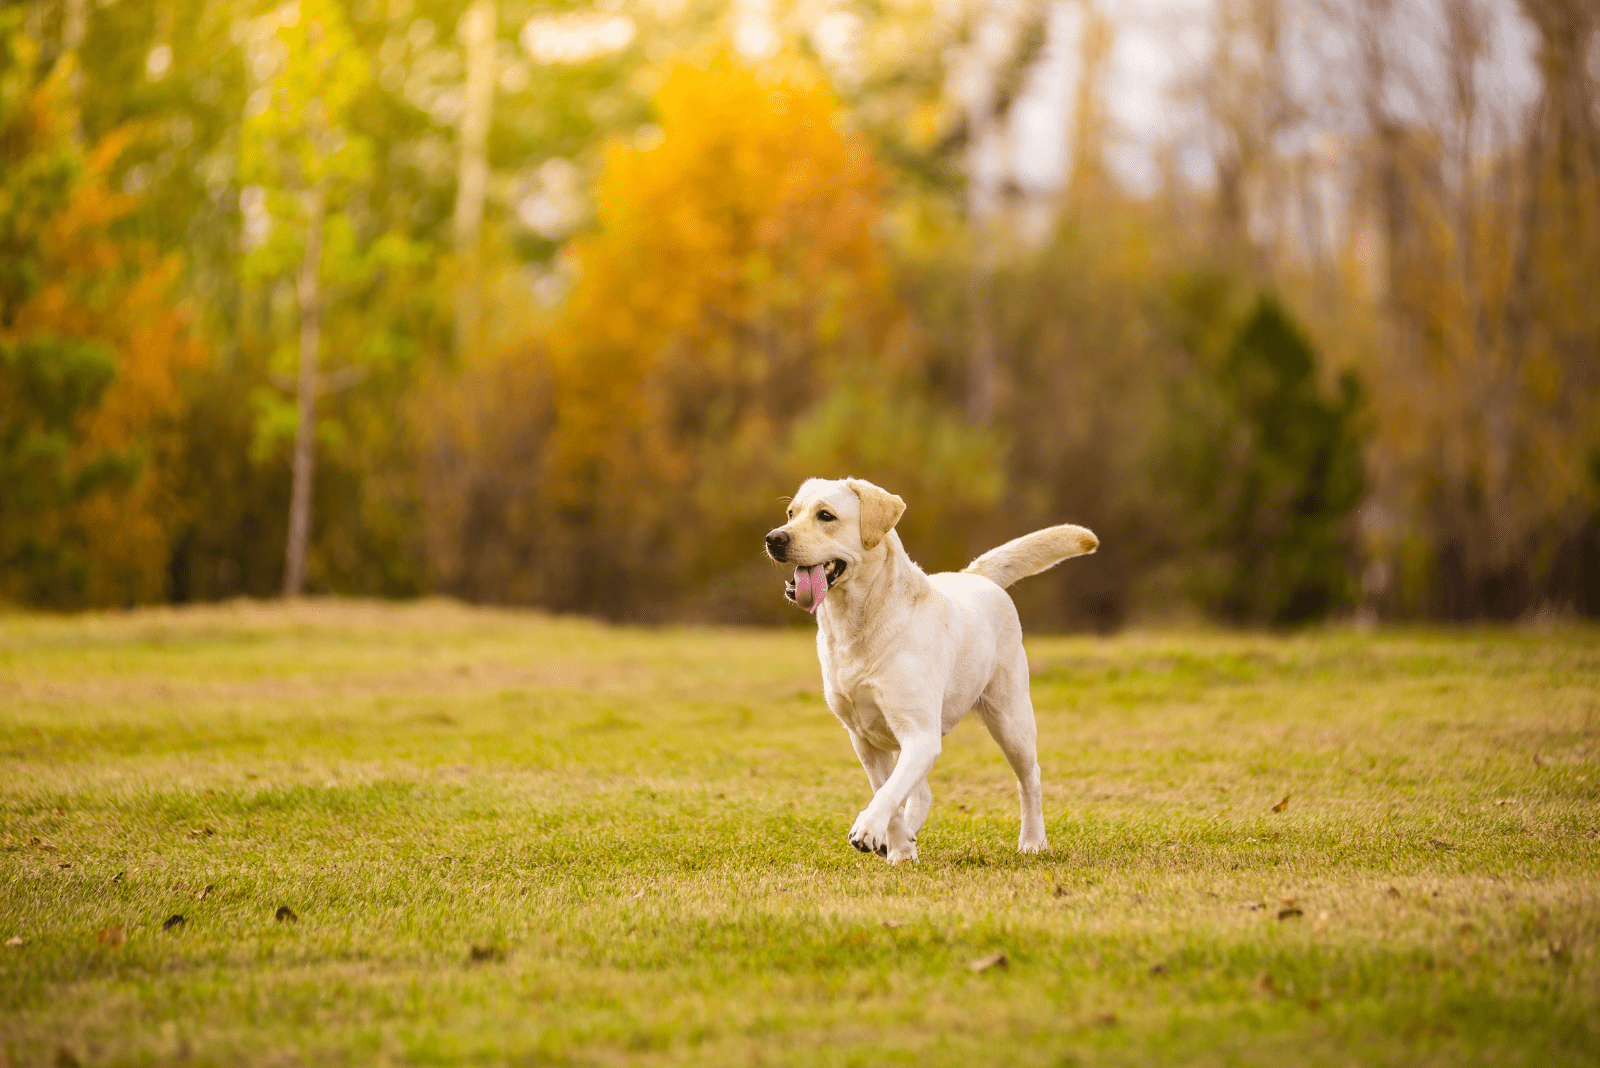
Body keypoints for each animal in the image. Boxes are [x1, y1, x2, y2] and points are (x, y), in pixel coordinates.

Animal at [764, 479, 1100, 863]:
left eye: (826, 516)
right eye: (791, 513)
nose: (774, 538)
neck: (856, 625)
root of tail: (974, 576)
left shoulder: (919, 734)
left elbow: (889, 792)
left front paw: (869, 829)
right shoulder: (864, 739)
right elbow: (890, 792)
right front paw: (899, 848)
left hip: (1011, 720)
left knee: (1030, 780)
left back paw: (1032, 841)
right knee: (921, 791)